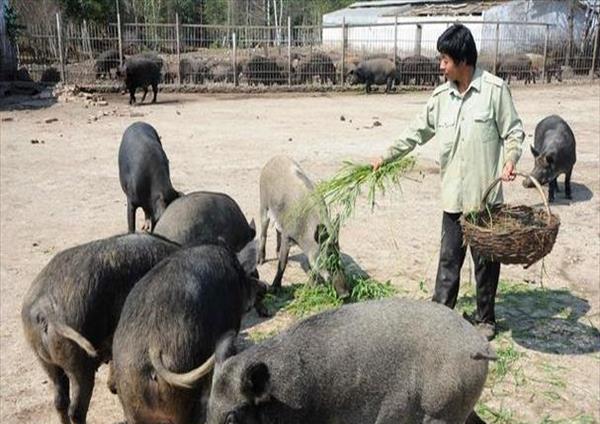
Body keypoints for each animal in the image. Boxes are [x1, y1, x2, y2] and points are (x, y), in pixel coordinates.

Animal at [256, 156, 346, 298]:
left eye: (339, 258)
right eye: (328, 259)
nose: (345, 294)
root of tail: (273, 159)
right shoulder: (288, 235)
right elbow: (283, 262)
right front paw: (274, 289)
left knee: (277, 229)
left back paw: (276, 253)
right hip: (263, 203)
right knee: (264, 230)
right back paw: (260, 261)